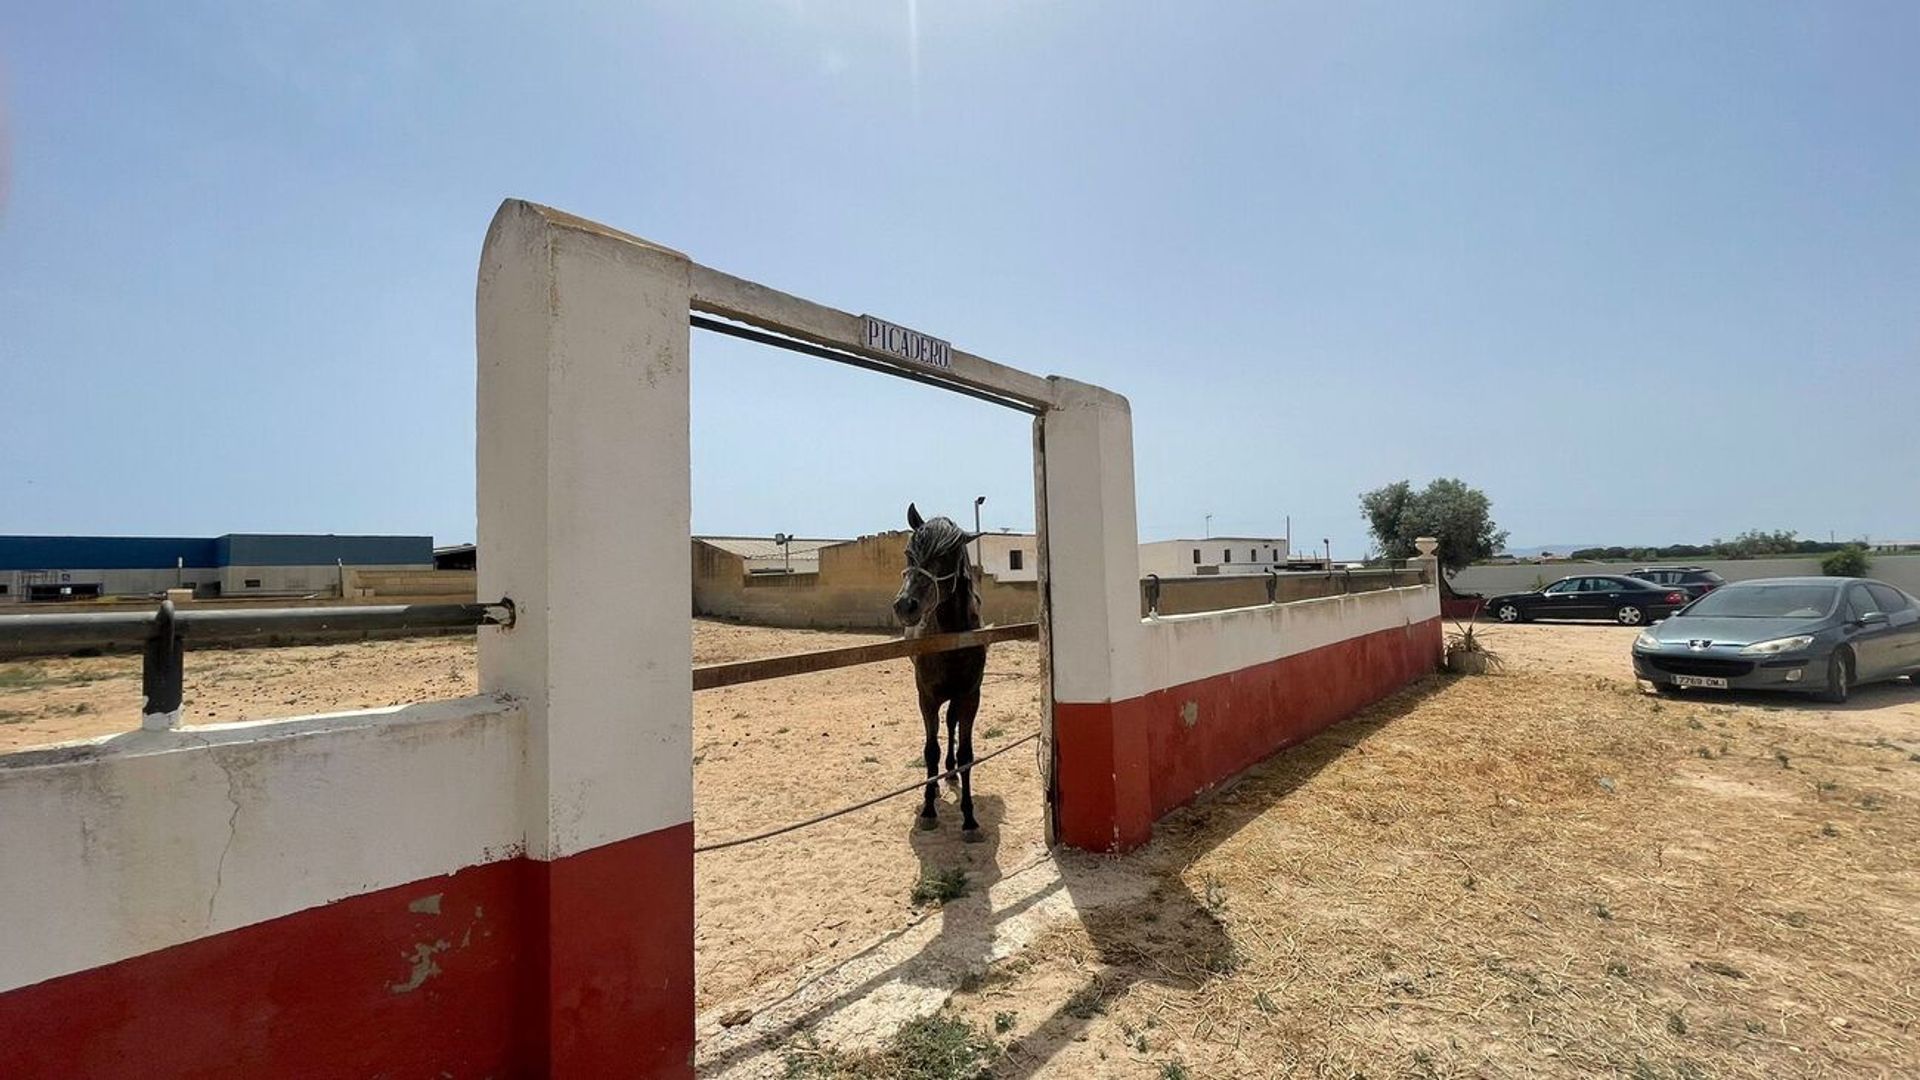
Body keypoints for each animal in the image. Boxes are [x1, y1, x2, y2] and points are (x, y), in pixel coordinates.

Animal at [890, 499, 990, 837]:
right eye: (908, 552)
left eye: (945, 556)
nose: (905, 606)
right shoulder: (927, 697)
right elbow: (929, 750)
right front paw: (929, 809)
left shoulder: (970, 695)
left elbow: (966, 754)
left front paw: (969, 818)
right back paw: (933, 787)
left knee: (950, 725)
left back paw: (950, 774)